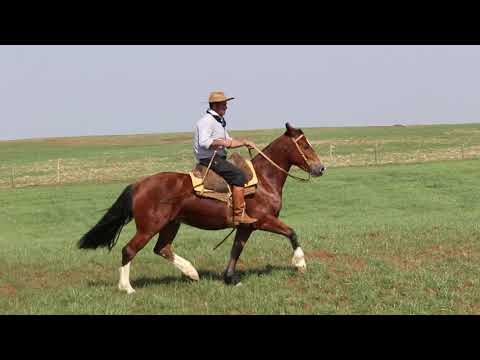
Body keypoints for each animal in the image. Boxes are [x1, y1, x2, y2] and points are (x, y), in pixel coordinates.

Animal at [79, 123, 326, 292]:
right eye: (304, 145)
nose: (320, 168)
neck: (263, 180)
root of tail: (138, 184)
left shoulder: (246, 226)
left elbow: (236, 249)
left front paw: (230, 279)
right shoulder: (264, 220)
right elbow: (292, 233)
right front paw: (300, 264)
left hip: (171, 224)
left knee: (162, 248)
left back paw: (192, 273)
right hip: (149, 227)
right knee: (129, 250)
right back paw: (127, 288)